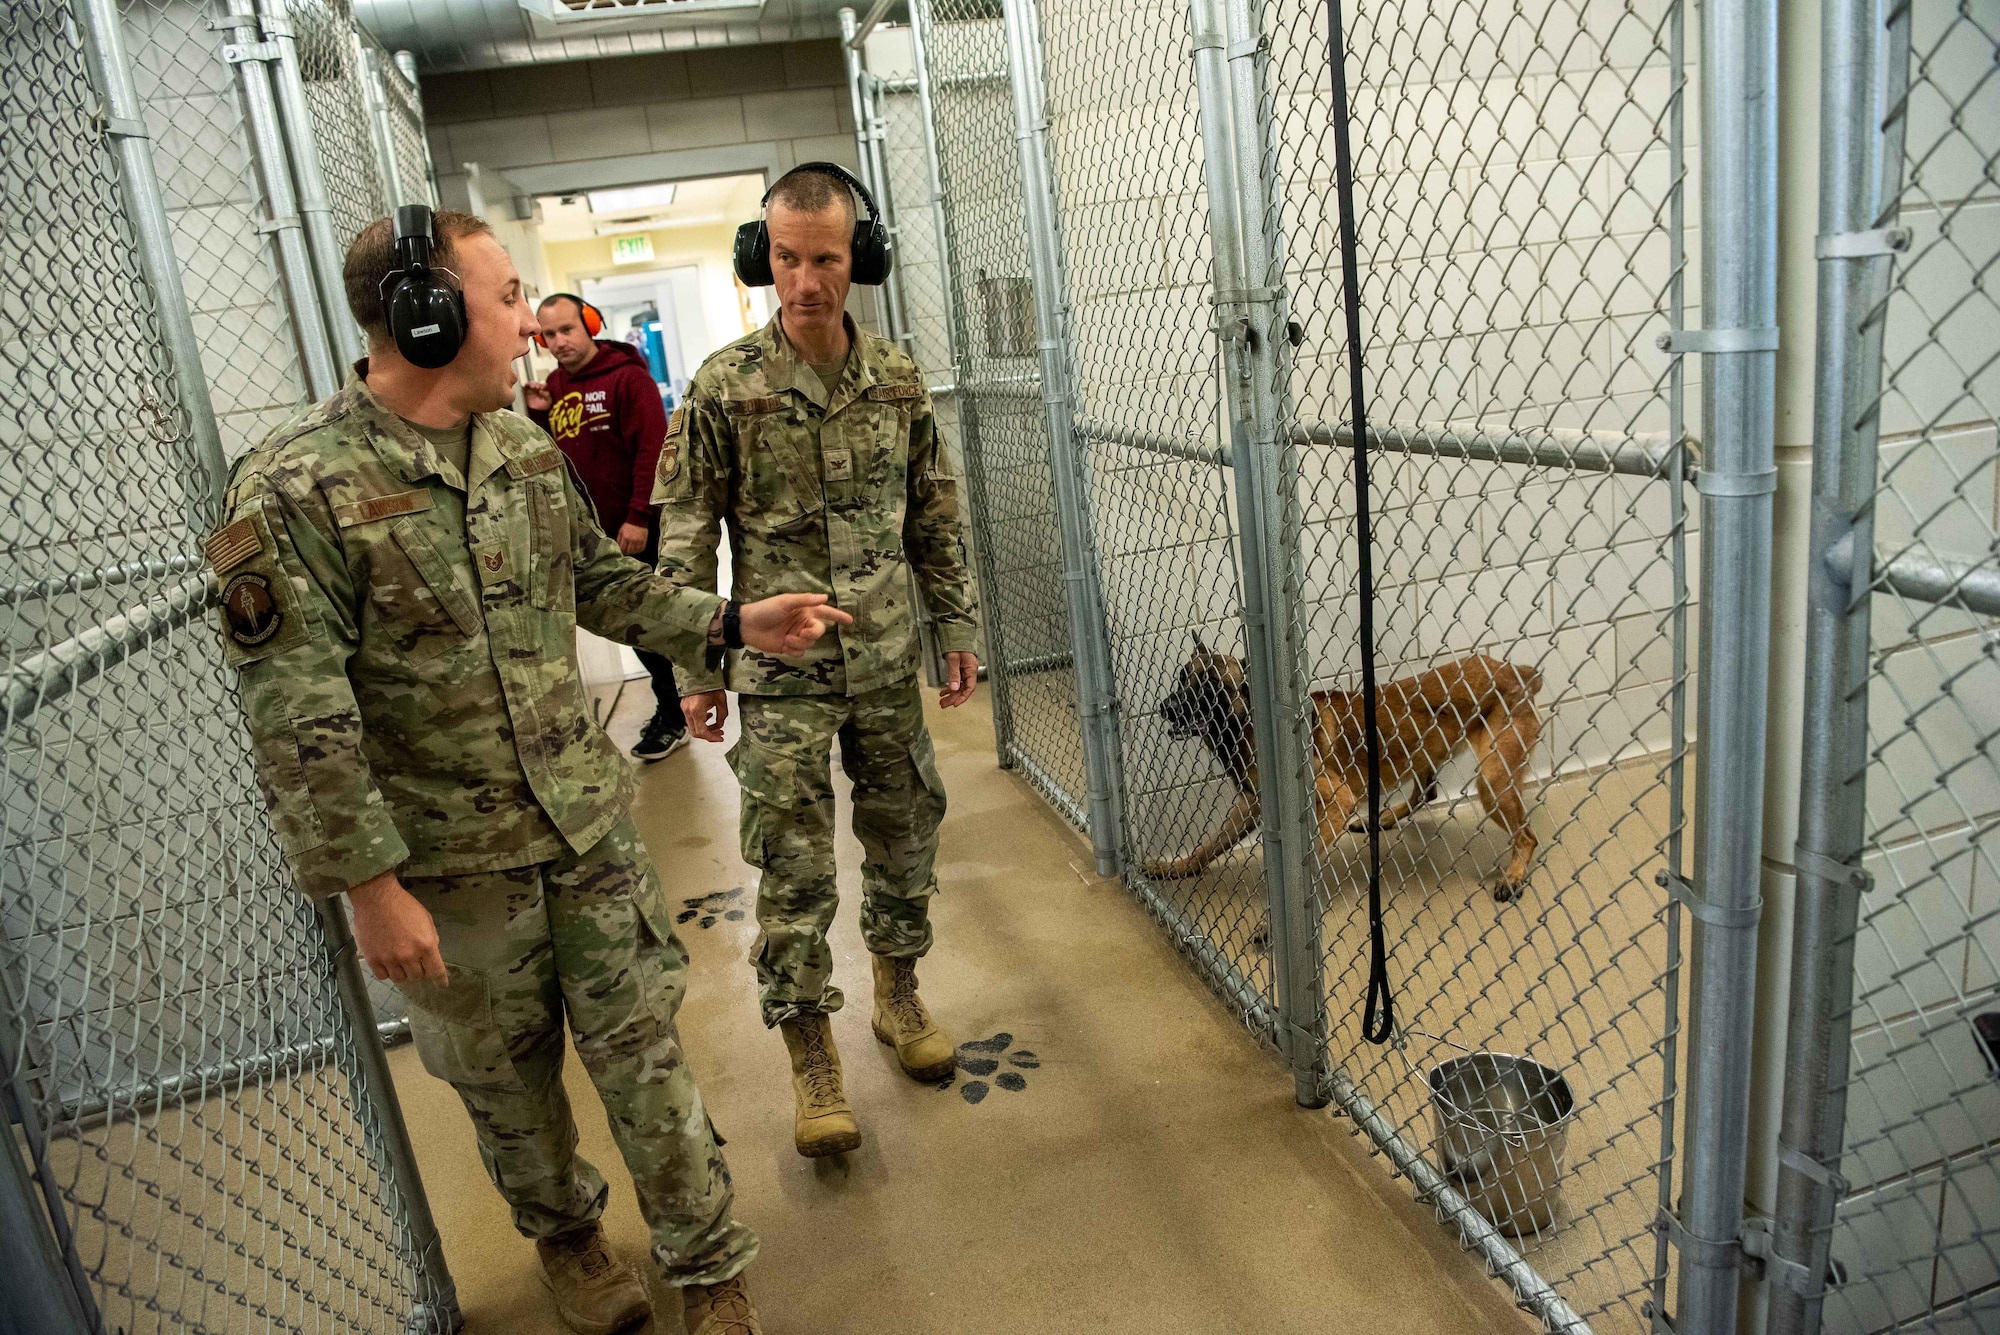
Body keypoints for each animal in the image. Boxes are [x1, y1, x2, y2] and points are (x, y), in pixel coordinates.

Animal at [1144, 639, 1544, 903]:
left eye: (1212, 685)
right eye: (1183, 676)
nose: (1165, 707)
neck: (1252, 725)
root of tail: (1518, 670)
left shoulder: (1337, 800)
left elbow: (1307, 867)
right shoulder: (1249, 806)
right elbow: (1207, 846)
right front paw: (1177, 868)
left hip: (1491, 782)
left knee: (1528, 836)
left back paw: (1513, 875)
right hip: (1424, 752)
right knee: (1426, 792)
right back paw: (1380, 818)